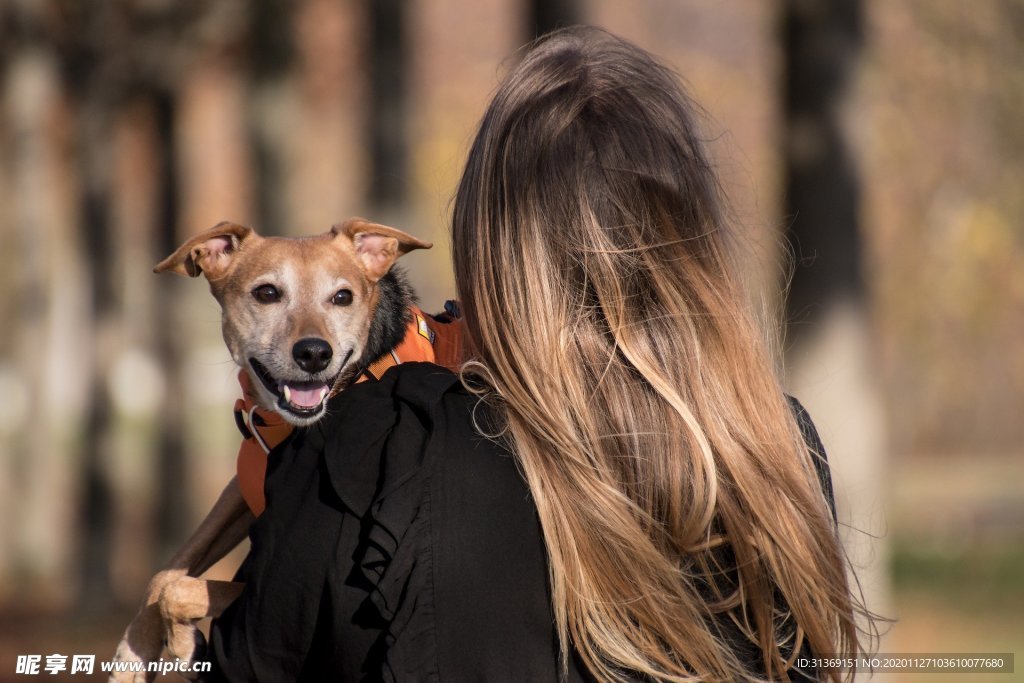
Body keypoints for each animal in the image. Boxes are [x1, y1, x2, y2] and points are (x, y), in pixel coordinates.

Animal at [110, 220, 430, 683]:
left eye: (343, 297)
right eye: (266, 293)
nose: (314, 353)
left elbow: (181, 589)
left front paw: (184, 647)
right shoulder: (242, 490)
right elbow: (167, 571)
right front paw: (133, 652)